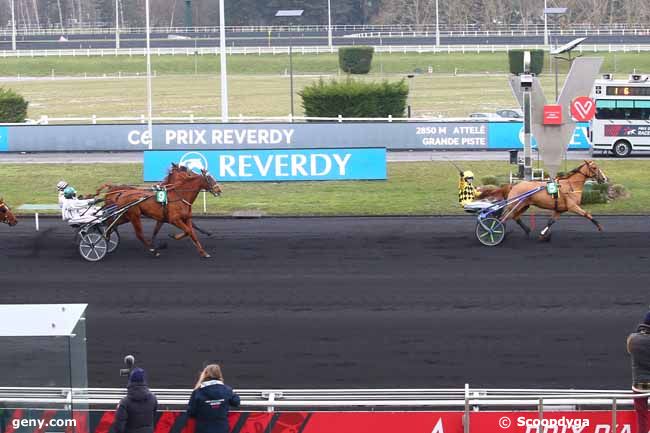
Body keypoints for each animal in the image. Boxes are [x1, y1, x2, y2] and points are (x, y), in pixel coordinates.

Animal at [476, 159, 608, 240]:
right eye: (594, 168)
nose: (604, 179)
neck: (570, 186)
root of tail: (514, 185)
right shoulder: (572, 206)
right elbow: (587, 214)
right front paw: (600, 227)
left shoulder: (560, 210)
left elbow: (550, 222)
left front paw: (542, 234)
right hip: (515, 205)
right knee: (502, 218)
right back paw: (492, 231)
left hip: (523, 205)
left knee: (515, 217)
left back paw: (527, 230)